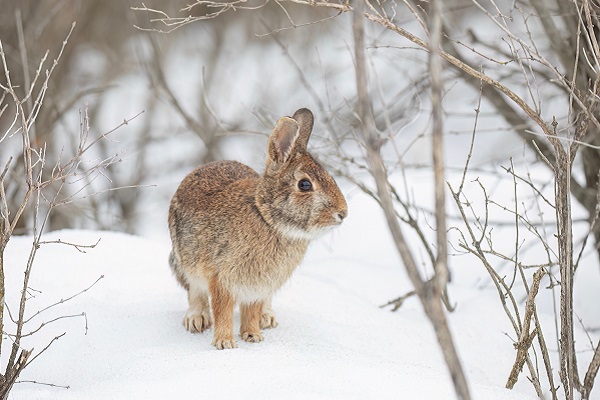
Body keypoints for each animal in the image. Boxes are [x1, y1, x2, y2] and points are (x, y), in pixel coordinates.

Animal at [168, 108, 346, 350]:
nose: (343, 213)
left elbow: (251, 310)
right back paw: (196, 320)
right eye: (305, 185)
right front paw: (225, 343)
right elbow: (222, 311)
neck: (266, 217)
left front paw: (253, 336)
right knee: (195, 292)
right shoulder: (221, 277)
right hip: (183, 261)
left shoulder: (258, 286)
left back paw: (266, 318)